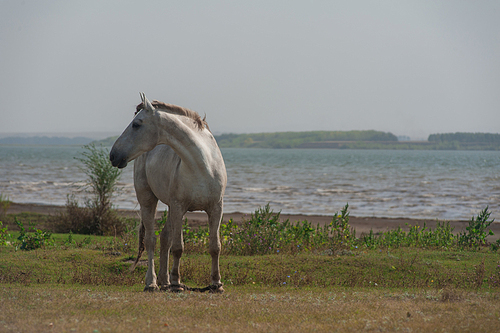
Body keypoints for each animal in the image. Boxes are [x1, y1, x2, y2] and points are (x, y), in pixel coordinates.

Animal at [110, 92, 228, 290]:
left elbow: (215, 246)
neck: (203, 165)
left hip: (171, 208)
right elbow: (178, 247)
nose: (113, 155)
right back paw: (152, 283)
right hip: (148, 202)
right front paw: (176, 283)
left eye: (136, 124)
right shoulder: (179, 207)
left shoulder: (216, 208)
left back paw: (164, 281)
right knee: (151, 240)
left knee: (164, 238)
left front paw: (216, 284)